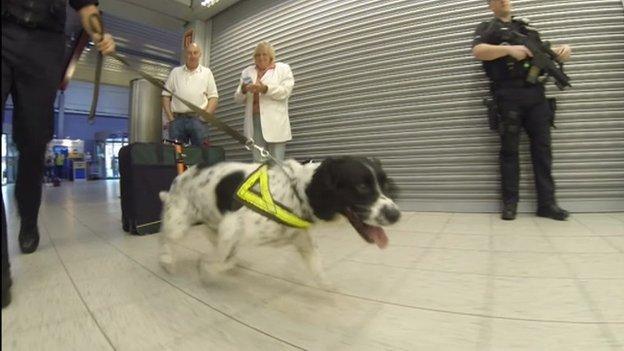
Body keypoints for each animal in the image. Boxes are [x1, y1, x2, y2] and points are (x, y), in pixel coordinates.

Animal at [158, 157, 402, 286]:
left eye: (385, 185)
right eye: (361, 187)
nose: (396, 214)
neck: (296, 191)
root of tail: (181, 174)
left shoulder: (302, 240)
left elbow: (318, 269)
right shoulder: (232, 226)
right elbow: (218, 260)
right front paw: (207, 270)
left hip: (213, 225)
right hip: (179, 222)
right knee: (166, 238)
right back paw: (167, 259)